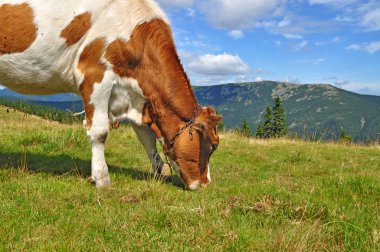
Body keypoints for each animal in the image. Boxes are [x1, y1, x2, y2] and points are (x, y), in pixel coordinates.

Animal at [0, 0, 221, 189]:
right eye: (213, 146)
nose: (205, 184)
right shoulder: (95, 75)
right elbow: (100, 131)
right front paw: (101, 178)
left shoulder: (136, 98)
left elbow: (147, 137)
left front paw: (161, 172)